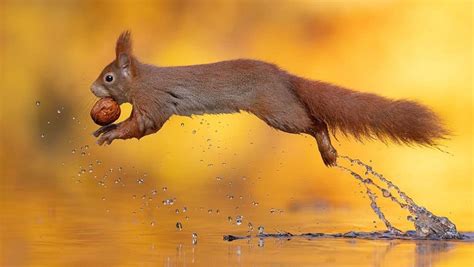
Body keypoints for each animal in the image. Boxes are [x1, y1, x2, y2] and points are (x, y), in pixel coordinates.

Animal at [91, 31, 448, 168]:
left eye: (108, 77)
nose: (93, 89)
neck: (142, 79)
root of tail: (285, 78)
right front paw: (102, 129)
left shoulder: (154, 102)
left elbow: (143, 126)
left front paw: (110, 132)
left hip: (278, 110)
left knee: (316, 122)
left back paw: (328, 151)